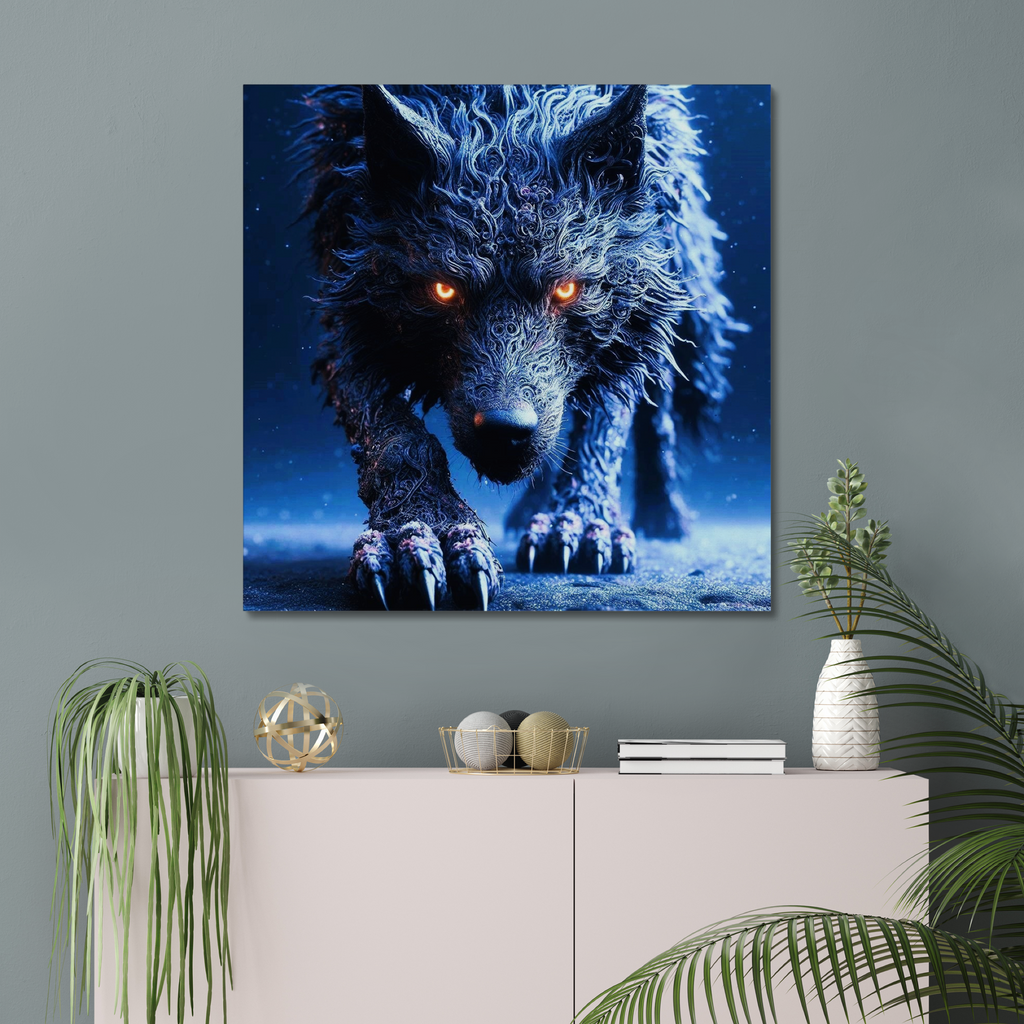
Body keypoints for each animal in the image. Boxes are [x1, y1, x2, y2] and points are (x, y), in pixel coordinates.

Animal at [299, 85, 742, 610]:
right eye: (443, 290)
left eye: (568, 289)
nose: (505, 428)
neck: (504, 110)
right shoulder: (348, 306)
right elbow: (396, 438)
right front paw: (424, 532)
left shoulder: (631, 318)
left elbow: (605, 422)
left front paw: (580, 522)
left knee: (658, 412)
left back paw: (661, 515)